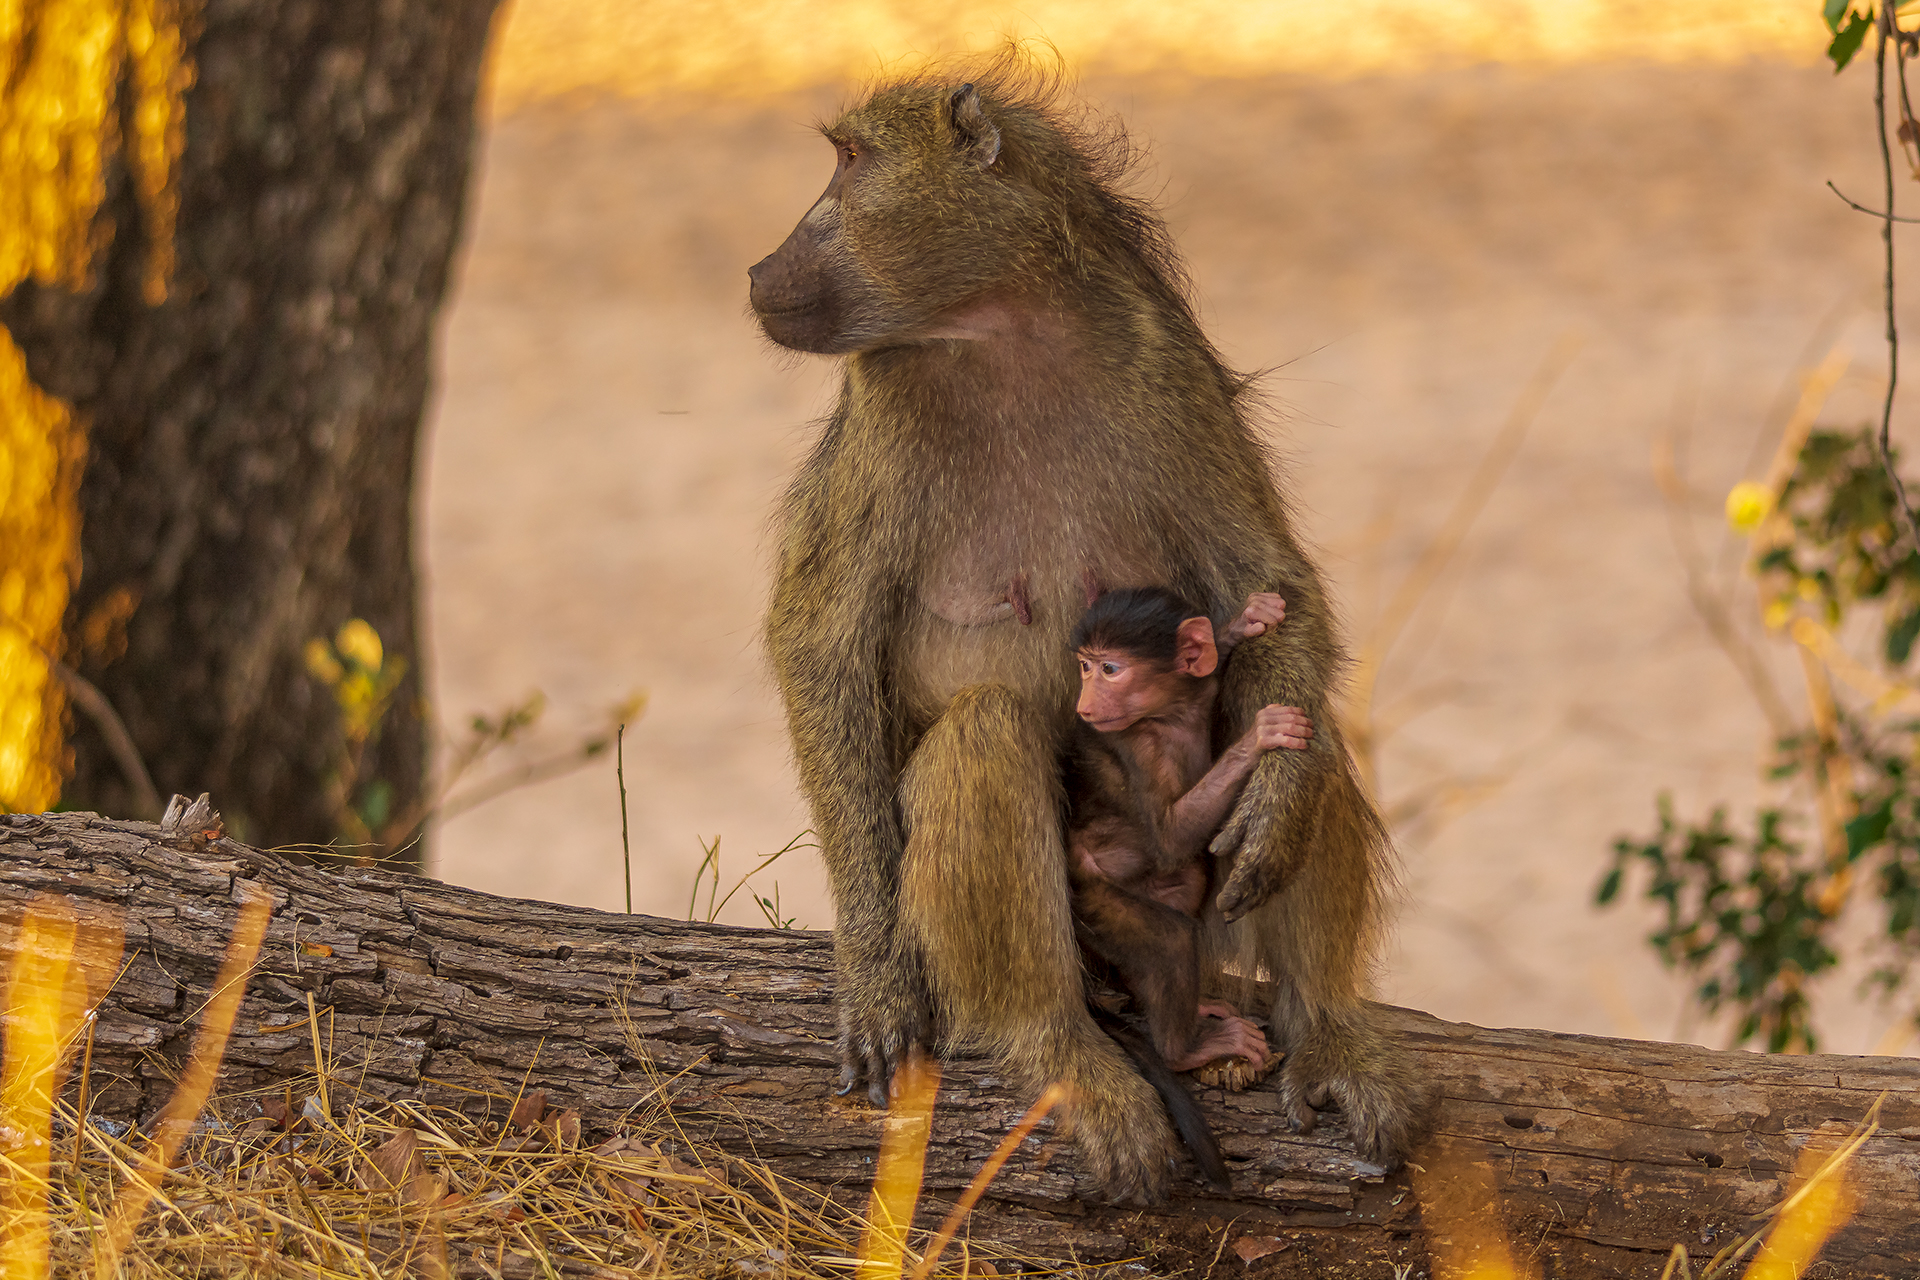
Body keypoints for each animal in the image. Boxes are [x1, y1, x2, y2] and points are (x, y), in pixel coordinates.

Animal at [1067, 587, 1306, 1090]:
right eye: (1085, 666)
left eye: (1108, 668)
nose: (1084, 705)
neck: (1171, 713)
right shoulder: (1139, 745)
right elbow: (1171, 838)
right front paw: (1261, 735)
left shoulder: (1196, 692)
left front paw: (1245, 622)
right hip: (1090, 899)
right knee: (1171, 938)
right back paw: (1183, 1051)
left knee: (1187, 884)